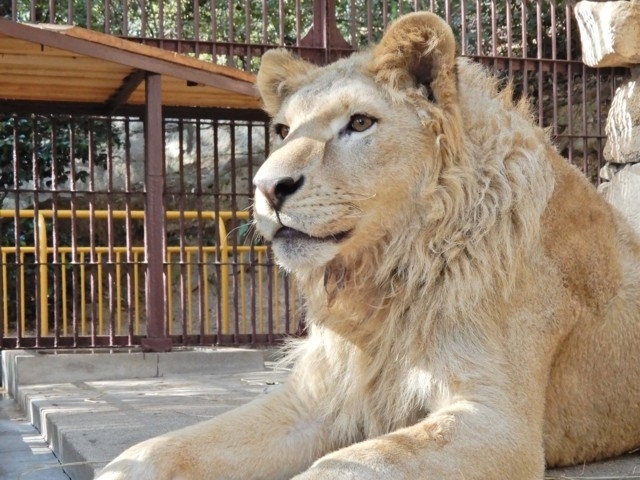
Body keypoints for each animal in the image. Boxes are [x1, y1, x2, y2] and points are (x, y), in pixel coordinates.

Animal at [95, 11, 640, 480]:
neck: (381, 277)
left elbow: (346, 464)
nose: (267, 187)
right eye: (283, 130)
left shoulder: (499, 423)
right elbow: (159, 448)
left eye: (359, 123)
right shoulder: (314, 397)